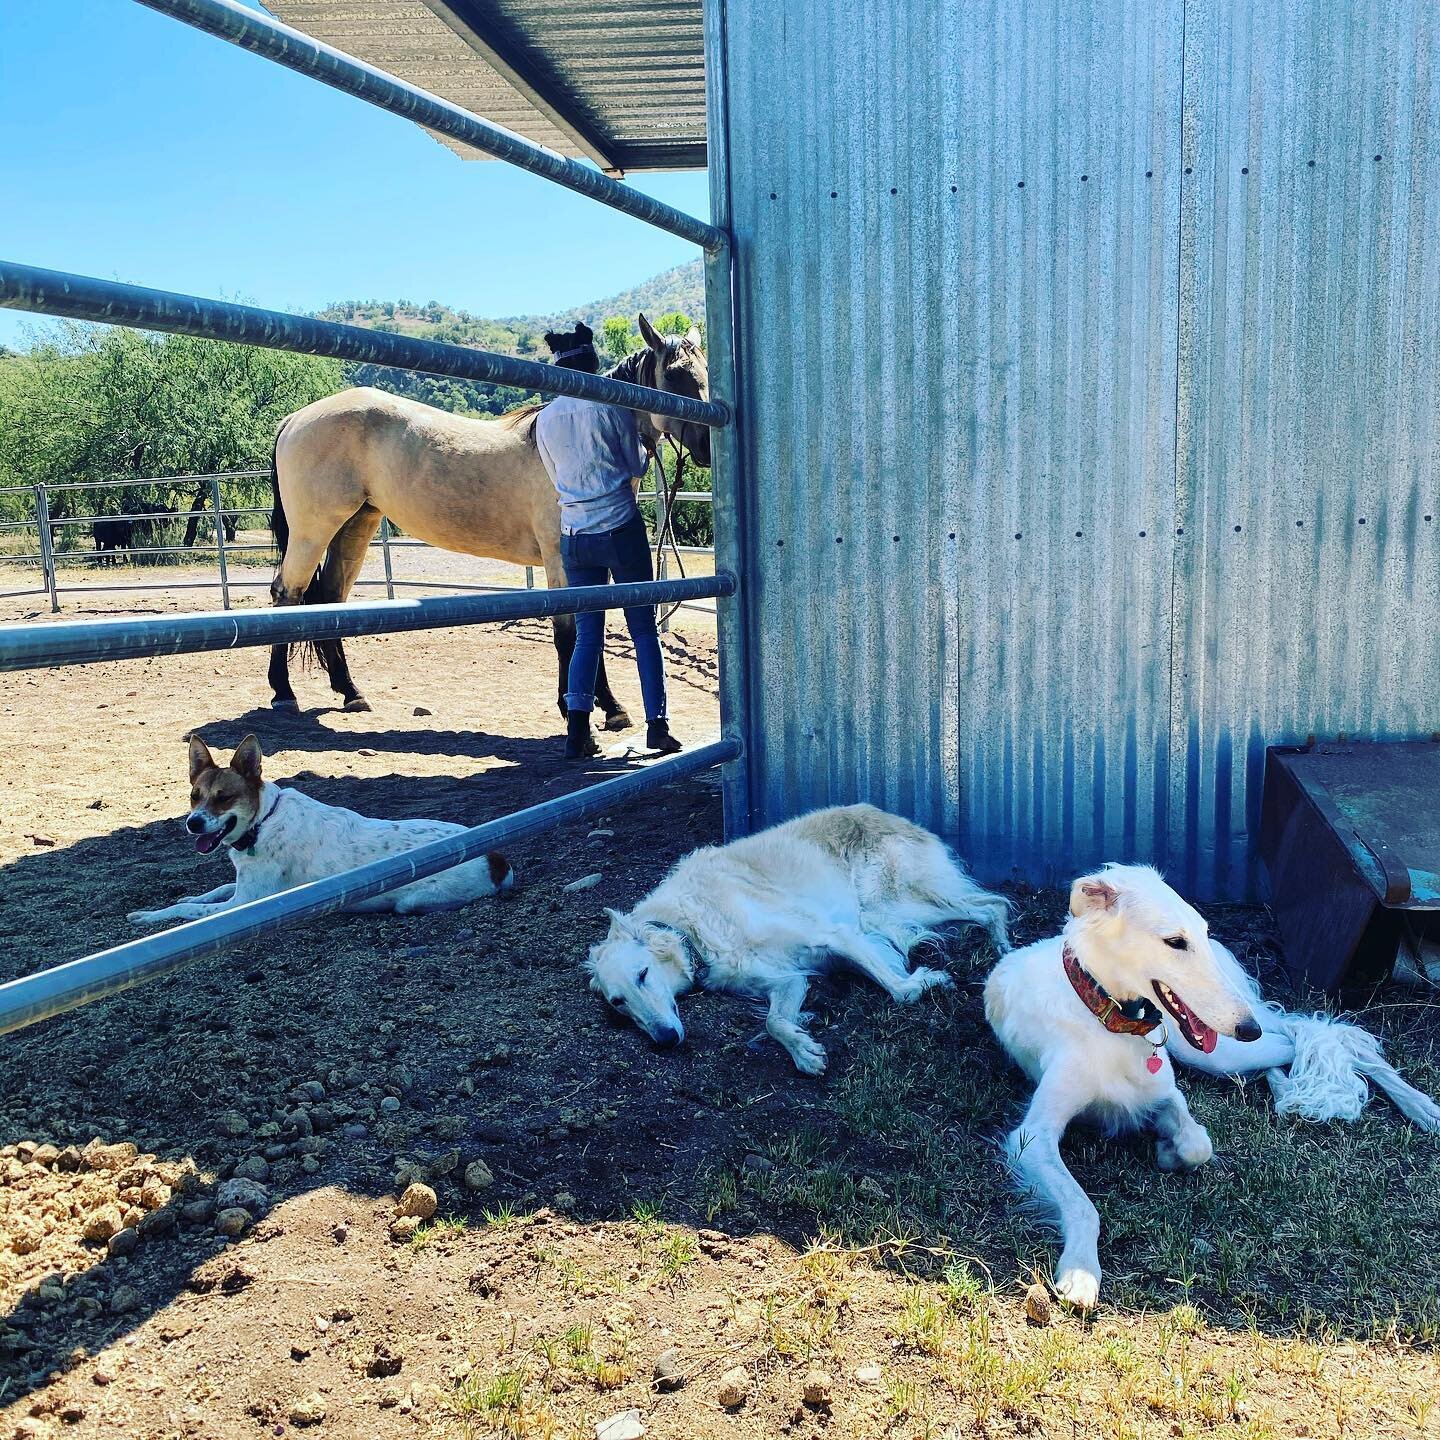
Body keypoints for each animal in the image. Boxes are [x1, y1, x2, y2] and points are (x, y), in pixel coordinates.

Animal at [126, 737, 515, 927]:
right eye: (195, 796)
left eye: (224, 798)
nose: (192, 823)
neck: (263, 821)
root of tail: (496, 856)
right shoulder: (241, 888)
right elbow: (207, 893)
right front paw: (179, 900)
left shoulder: (245, 903)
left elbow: (187, 913)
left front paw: (149, 917)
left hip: (413, 901)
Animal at [263, 315, 708, 720]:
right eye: (675, 374)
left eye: (704, 373)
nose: (706, 447)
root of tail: (295, 419)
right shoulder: (561, 560)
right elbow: (570, 630)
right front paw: (572, 707)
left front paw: (610, 706)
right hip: (312, 531)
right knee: (287, 594)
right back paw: (284, 693)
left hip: (355, 526)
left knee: (327, 601)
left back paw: (350, 692)